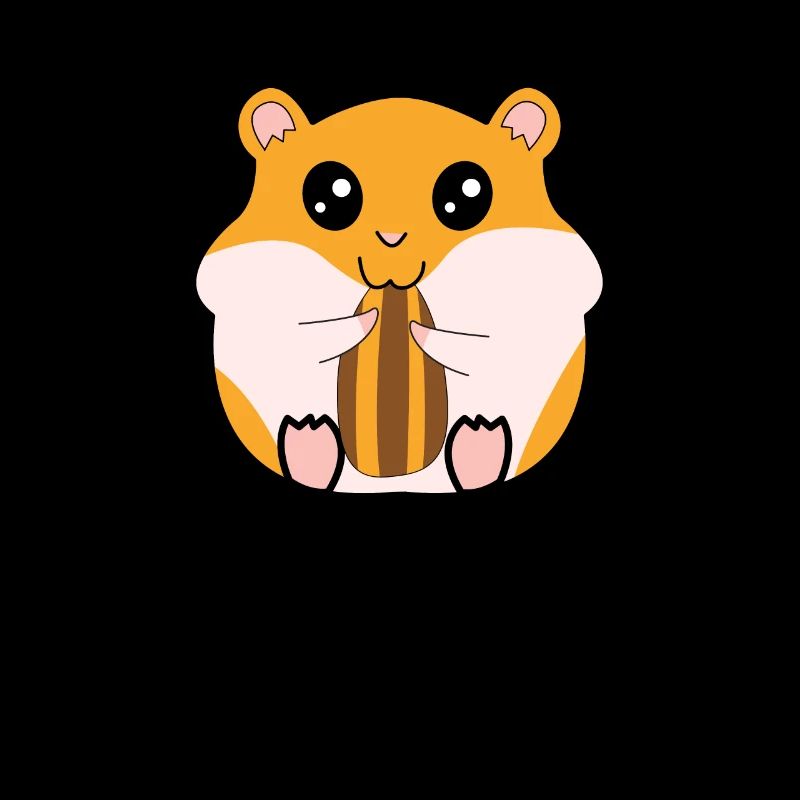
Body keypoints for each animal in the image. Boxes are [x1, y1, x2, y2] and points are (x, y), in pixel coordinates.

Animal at [197, 88, 602, 492]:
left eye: (467, 194)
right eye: (331, 195)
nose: (392, 238)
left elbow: (501, 335)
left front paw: (423, 334)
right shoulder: (237, 285)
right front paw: (364, 322)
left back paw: (479, 447)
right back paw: (311, 445)